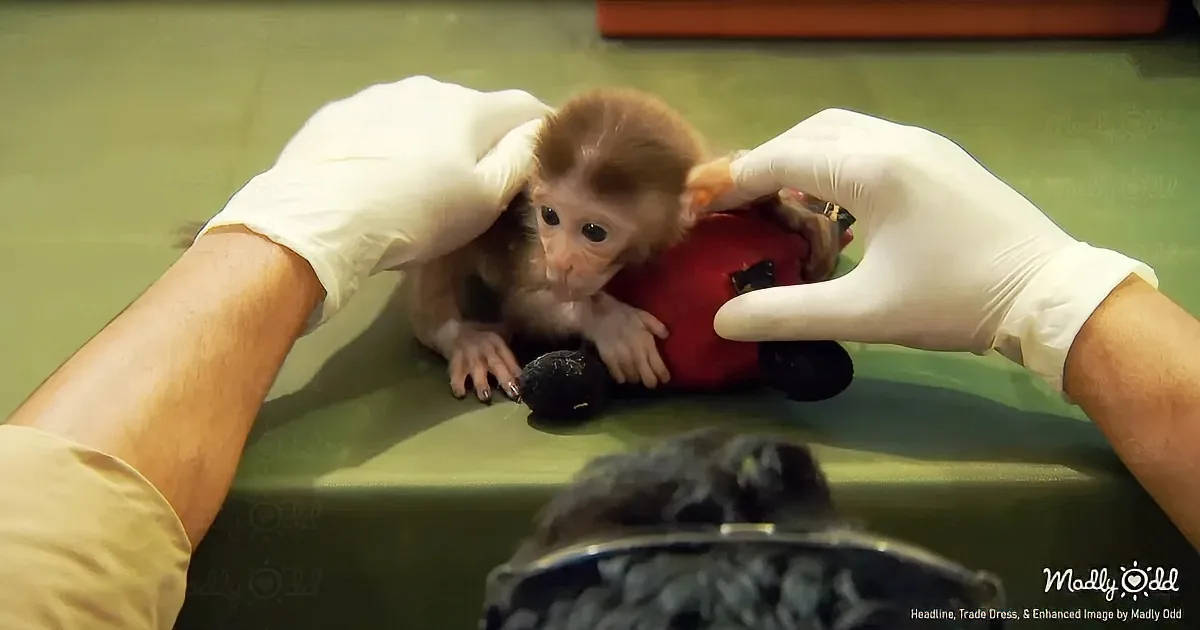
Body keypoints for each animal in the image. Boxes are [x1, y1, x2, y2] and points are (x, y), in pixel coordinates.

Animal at [407, 86, 847, 404]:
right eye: (549, 215)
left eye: (594, 232)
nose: (562, 260)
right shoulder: (535, 249)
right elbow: (522, 301)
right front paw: (608, 321)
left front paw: (794, 212)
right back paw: (463, 339)